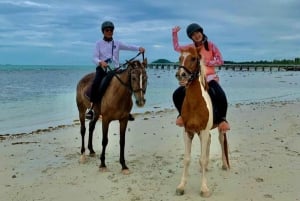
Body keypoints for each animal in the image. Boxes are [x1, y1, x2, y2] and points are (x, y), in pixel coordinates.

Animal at [175, 46, 229, 197]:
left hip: (219, 128)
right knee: (210, 141)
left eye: (193, 58)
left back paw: (224, 164)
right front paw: (181, 186)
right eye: (180, 58)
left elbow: (202, 158)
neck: (195, 103)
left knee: (221, 140)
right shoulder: (188, 131)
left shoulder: (203, 131)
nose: (181, 75)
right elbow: (187, 159)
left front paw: (204, 188)